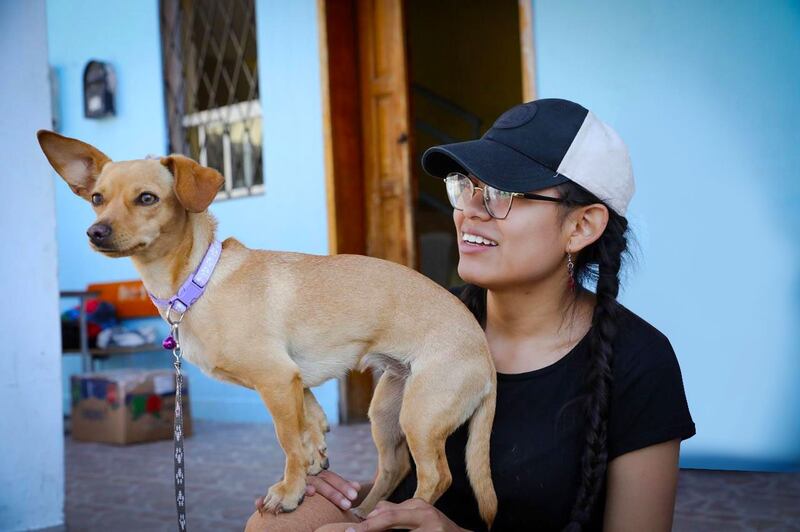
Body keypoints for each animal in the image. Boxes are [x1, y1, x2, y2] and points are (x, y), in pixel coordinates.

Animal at [39, 130, 500, 528]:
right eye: (97, 198)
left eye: (147, 198)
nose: (95, 232)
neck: (199, 279)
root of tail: (484, 354)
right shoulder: (292, 377)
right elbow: (307, 417)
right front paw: (316, 450)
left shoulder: (275, 379)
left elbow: (286, 439)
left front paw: (291, 490)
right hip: (387, 411)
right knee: (395, 466)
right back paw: (365, 510)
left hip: (419, 414)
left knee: (436, 476)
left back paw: (401, 517)